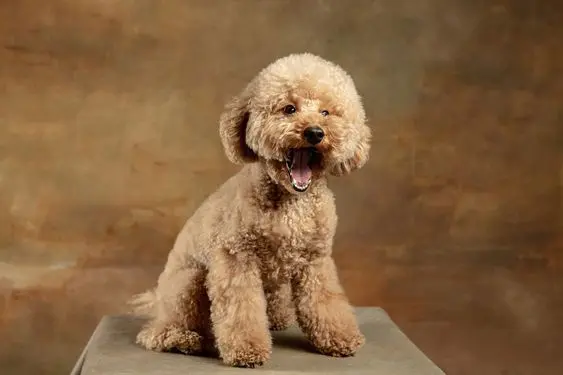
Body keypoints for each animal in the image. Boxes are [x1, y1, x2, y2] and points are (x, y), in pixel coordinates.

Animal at [130, 54, 372, 368]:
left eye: (326, 112)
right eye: (289, 109)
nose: (315, 132)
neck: (291, 202)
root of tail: (156, 300)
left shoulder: (315, 261)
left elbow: (325, 301)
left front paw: (340, 338)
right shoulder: (236, 259)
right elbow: (241, 309)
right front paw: (246, 349)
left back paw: (277, 319)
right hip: (188, 283)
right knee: (157, 333)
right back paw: (184, 339)